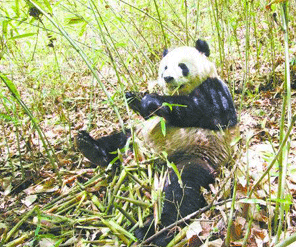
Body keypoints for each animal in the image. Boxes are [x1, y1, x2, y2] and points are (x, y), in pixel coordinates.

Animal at [75, 39, 237, 246]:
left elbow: (206, 110)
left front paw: (151, 100)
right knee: (118, 140)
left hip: (198, 157)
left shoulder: (214, 89)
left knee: (181, 192)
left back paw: (151, 232)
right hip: (136, 138)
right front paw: (134, 98)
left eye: (182, 66)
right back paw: (89, 146)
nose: (167, 78)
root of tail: (151, 159)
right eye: (164, 67)